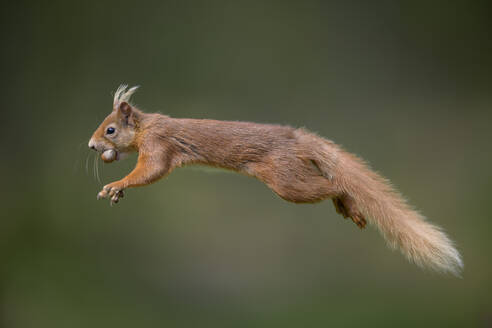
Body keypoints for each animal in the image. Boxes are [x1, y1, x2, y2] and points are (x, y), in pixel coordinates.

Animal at [87, 84, 462, 274]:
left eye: (110, 130)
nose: (92, 146)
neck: (147, 126)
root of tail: (299, 140)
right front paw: (116, 192)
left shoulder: (158, 146)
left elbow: (150, 171)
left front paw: (115, 185)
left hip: (286, 181)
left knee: (335, 185)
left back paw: (350, 205)